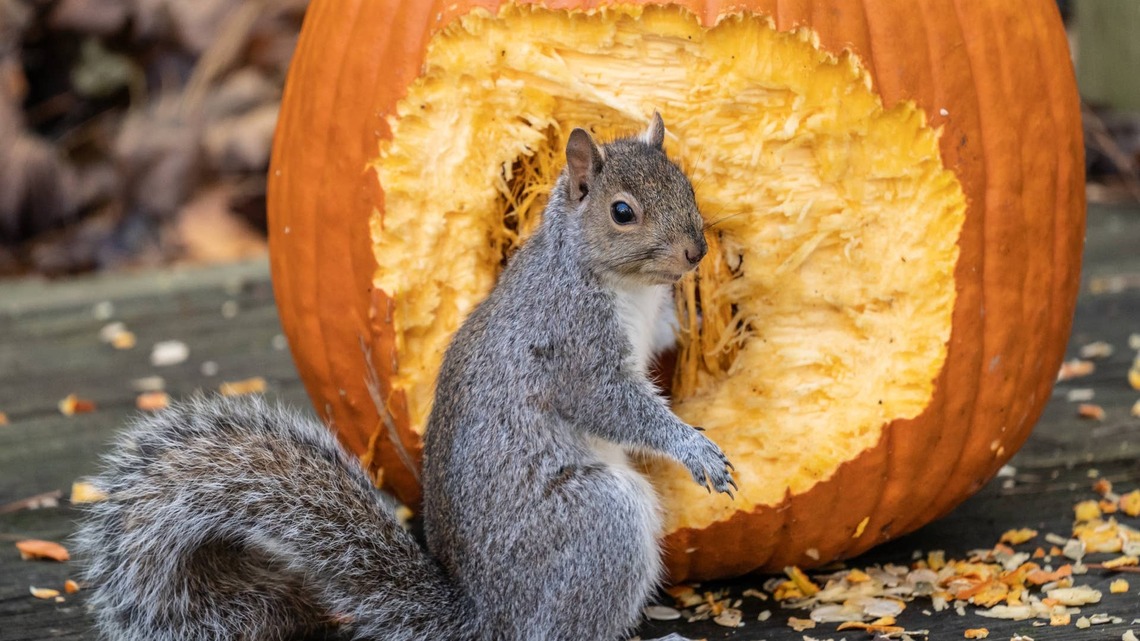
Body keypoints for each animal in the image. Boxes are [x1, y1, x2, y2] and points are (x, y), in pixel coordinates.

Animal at [75, 113, 736, 641]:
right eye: (623, 212)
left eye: (686, 184)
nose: (695, 253)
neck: (619, 284)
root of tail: (487, 621)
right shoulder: (570, 344)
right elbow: (611, 405)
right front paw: (693, 448)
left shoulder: (644, 325)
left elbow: (665, 337)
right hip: (599, 522)